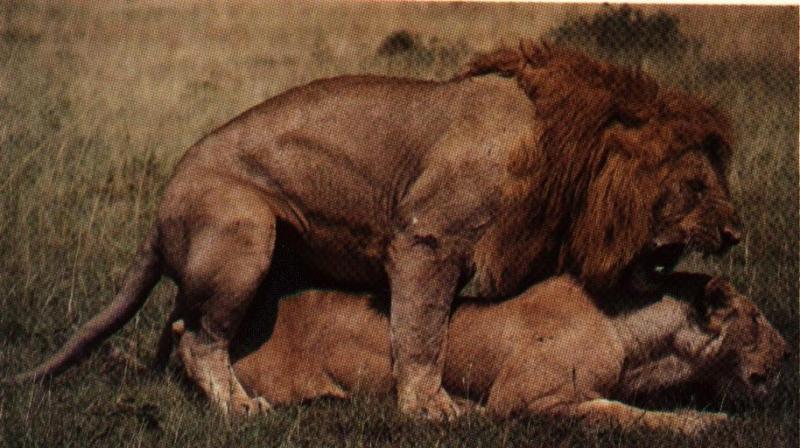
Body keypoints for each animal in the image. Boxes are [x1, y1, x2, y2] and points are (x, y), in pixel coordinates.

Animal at [9, 41, 741, 419]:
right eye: (699, 185)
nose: (737, 234)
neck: (569, 161)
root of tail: (164, 200)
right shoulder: (427, 239)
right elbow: (420, 329)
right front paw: (428, 406)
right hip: (245, 231)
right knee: (200, 336)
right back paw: (238, 406)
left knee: (184, 323)